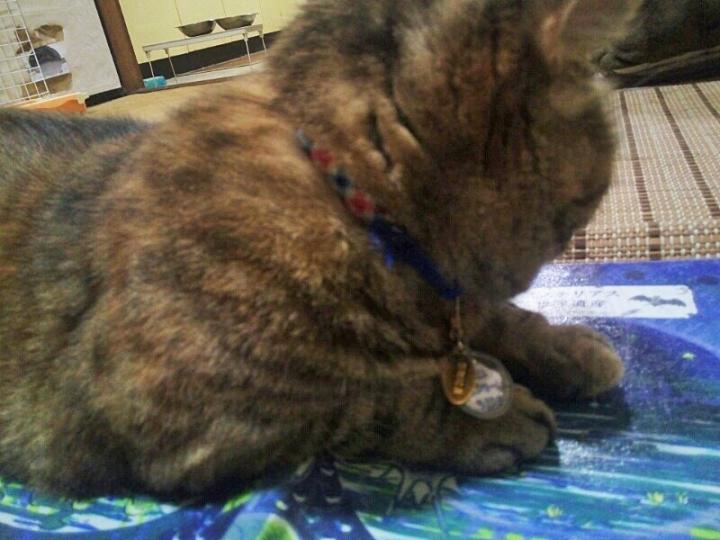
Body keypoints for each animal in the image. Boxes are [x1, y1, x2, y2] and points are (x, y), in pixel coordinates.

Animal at [0, 0, 637, 498]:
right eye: (586, 202)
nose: (539, 268)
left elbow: (499, 321)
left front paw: (566, 347)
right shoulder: (185, 414)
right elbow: (374, 398)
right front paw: (488, 417)